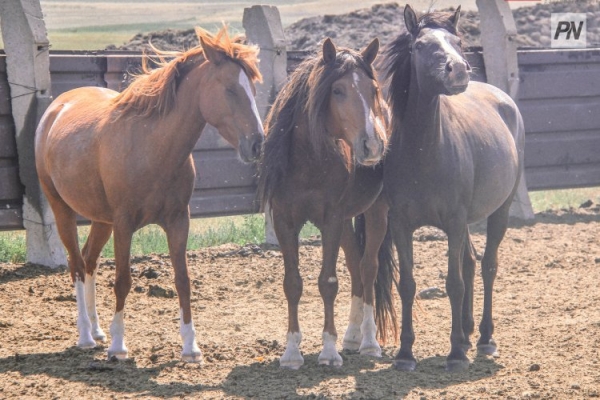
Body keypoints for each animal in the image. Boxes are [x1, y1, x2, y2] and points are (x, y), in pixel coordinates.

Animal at [34, 25, 264, 362]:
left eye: (253, 90)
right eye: (230, 89)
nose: (258, 144)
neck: (152, 147)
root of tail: (56, 108)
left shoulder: (178, 221)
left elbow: (183, 280)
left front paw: (191, 346)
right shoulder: (124, 224)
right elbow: (123, 281)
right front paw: (118, 346)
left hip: (101, 220)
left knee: (89, 261)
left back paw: (97, 329)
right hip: (62, 209)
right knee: (76, 265)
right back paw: (86, 336)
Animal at [258, 38, 398, 368]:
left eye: (373, 89)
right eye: (337, 90)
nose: (373, 145)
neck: (308, 159)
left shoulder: (331, 220)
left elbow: (328, 282)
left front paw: (329, 351)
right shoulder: (285, 221)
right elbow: (292, 283)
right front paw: (292, 352)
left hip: (376, 212)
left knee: (368, 268)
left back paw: (369, 341)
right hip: (347, 220)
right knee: (356, 267)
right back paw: (353, 336)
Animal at [380, 4, 524, 372]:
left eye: (458, 41)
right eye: (420, 45)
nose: (458, 69)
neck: (423, 150)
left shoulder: (455, 223)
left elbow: (454, 283)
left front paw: (456, 353)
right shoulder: (400, 224)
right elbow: (407, 284)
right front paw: (405, 354)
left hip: (499, 212)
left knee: (487, 266)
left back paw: (484, 338)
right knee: (472, 262)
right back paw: (469, 332)